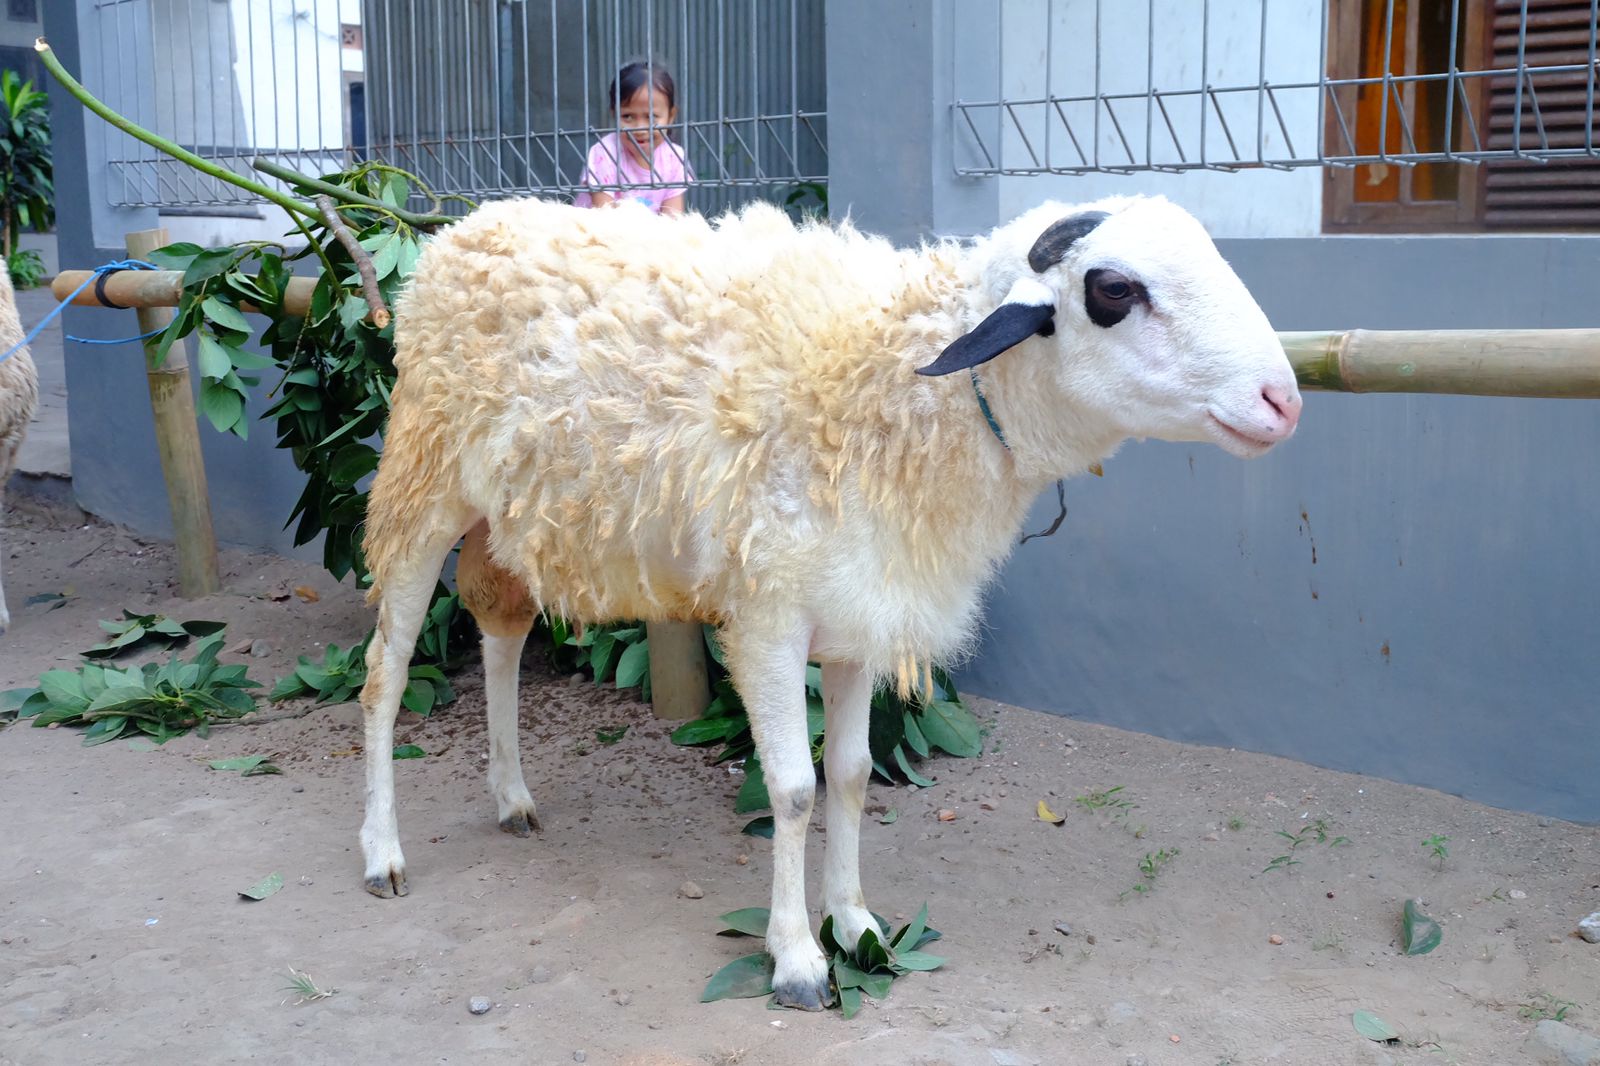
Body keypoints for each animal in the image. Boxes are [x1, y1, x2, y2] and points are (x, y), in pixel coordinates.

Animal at [353, 192, 1299, 1005]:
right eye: (1114, 290)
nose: (1282, 401)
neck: (902, 389)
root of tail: (457, 233)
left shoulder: (860, 614)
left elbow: (848, 777)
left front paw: (855, 925)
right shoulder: (768, 613)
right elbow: (794, 789)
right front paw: (798, 960)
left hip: (506, 517)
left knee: (502, 632)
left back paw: (511, 795)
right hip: (420, 483)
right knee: (385, 674)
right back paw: (383, 852)